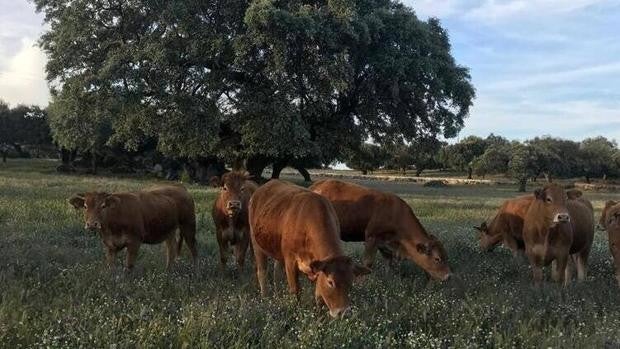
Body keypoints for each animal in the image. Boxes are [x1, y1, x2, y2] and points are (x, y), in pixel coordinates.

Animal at [67, 185, 195, 270]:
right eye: (85, 206)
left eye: (103, 206)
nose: (92, 224)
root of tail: (180, 188)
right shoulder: (109, 244)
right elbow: (110, 266)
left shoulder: (134, 242)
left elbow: (129, 266)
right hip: (169, 231)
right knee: (171, 249)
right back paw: (168, 270)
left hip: (188, 225)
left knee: (193, 248)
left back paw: (195, 270)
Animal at [249, 179, 370, 318]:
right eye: (330, 282)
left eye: (351, 283)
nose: (343, 312)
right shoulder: (290, 261)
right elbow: (295, 291)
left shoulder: (319, 268)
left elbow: (319, 296)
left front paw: (319, 318)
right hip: (256, 242)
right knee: (262, 271)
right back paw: (265, 297)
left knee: (276, 271)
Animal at [310, 179, 450, 280]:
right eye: (437, 258)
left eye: (446, 256)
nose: (448, 276)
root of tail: (317, 185)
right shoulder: (371, 238)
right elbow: (367, 263)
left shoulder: (384, 242)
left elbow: (388, 261)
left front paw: (389, 278)